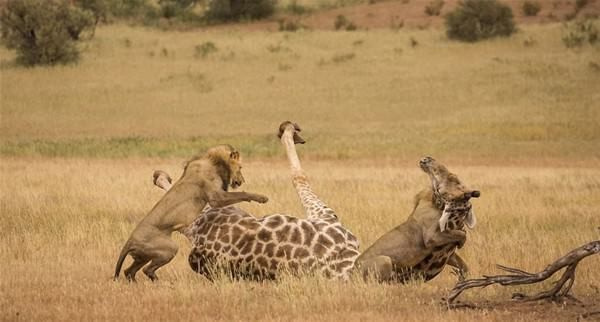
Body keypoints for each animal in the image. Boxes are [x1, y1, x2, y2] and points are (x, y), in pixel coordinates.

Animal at [113, 144, 268, 282]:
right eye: (240, 167)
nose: (241, 181)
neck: (214, 162)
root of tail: (130, 241)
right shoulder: (216, 197)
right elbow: (242, 194)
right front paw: (262, 198)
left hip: (143, 257)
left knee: (129, 271)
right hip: (170, 248)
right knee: (146, 270)